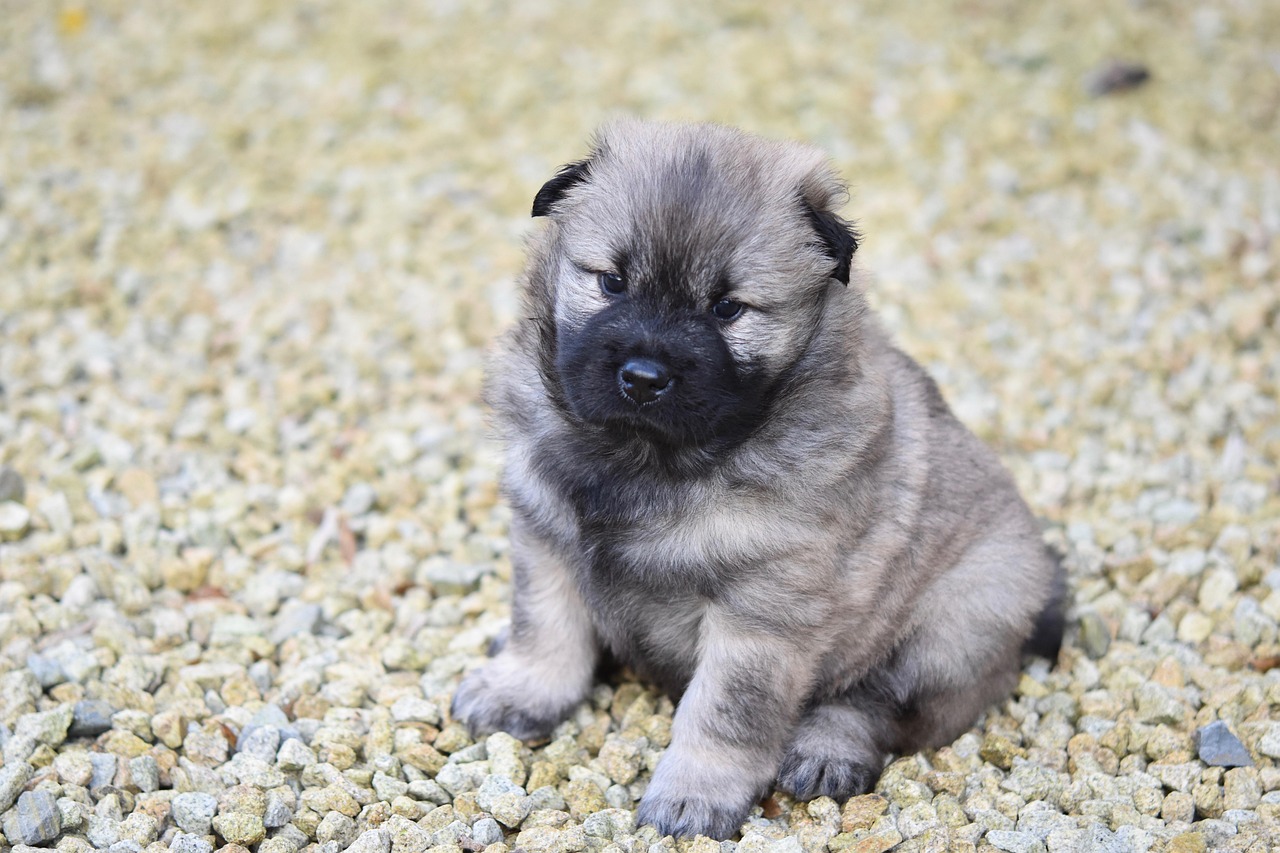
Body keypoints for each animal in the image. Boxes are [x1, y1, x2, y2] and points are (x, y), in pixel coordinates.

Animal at [455, 119, 1064, 835]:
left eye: (727, 308)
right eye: (612, 282)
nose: (643, 377)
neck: (646, 458)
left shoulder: (762, 610)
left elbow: (725, 711)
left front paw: (693, 793)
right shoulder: (545, 535)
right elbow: (543, 626)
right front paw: (520, 689)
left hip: (963, 613)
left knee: (879, 702)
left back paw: (826, 752)